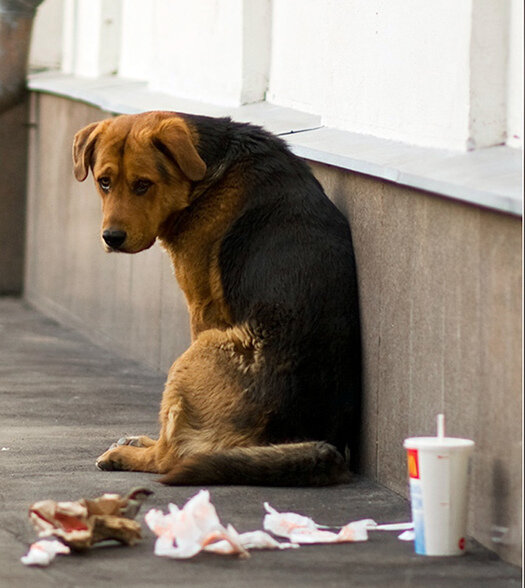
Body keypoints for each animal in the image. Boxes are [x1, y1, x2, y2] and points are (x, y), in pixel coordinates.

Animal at [72, 111, 360, 486]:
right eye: (104, 182)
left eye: (143, 185)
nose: (112, 238)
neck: (206, 172)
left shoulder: (201, 307)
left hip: (201, 349)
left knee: (170, 455)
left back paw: (128, 455)